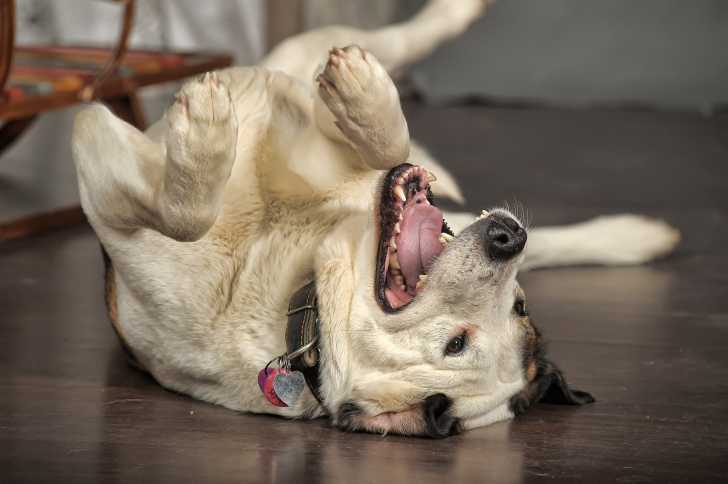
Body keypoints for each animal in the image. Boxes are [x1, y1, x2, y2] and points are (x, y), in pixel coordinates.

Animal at [71, 0, 680, 436]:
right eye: (522, 306)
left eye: (455, 346)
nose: (507, 238)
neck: (297, 286)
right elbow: (390, 146)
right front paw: (363, 101)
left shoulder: (104, 184)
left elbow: (183, 213)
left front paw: (202, 133)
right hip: (299, 60)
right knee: (394, 46)